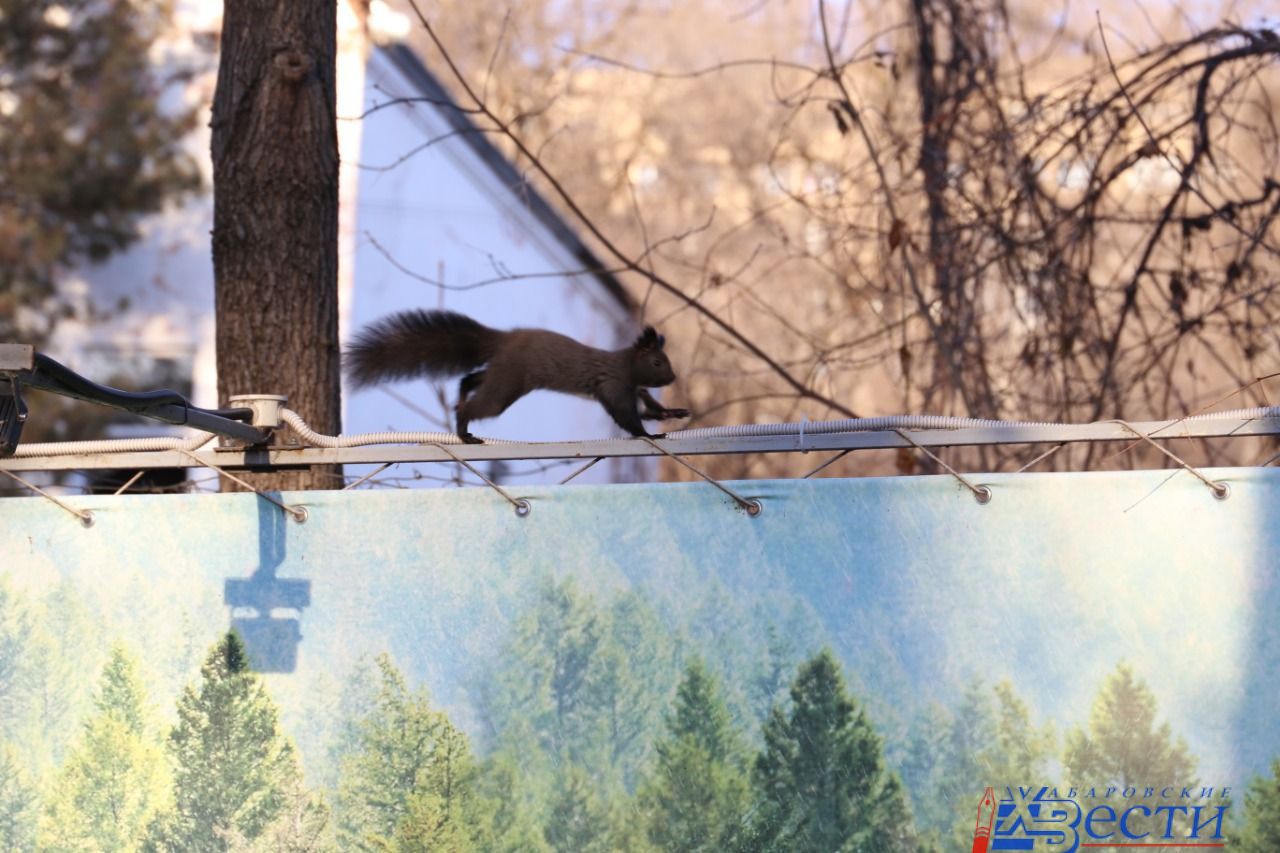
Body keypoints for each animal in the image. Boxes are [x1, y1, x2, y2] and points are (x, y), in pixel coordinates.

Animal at [343, 312, 691, 445]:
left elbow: (651, 409)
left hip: (501, 372)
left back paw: (461, 397)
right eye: (657, 362)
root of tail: (504, 339)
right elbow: (628, 417)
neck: (627, 366)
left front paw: (675, 412)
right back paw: (465, 432)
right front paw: (651, 434)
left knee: (470, 379)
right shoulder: (615, 386)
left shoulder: (637, 390)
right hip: (508, 382)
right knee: (477, 405)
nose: (673, 378)